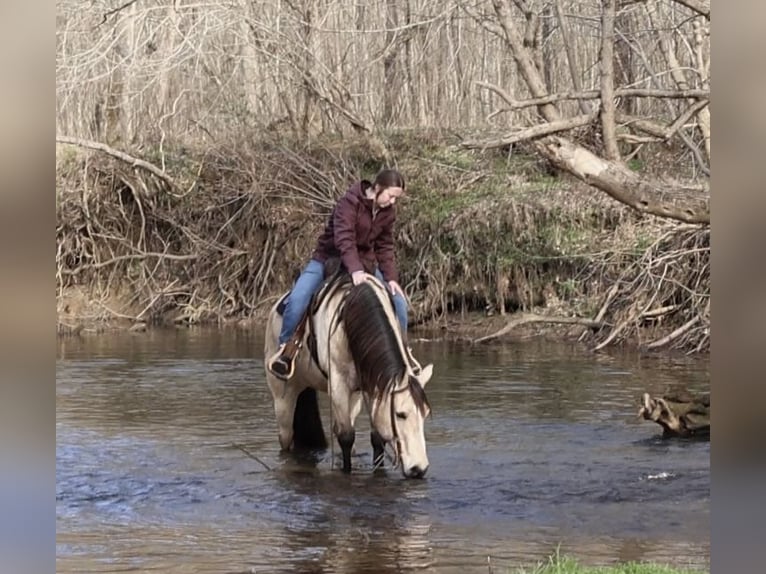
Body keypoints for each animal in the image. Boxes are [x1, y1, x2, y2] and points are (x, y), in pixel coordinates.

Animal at [264, 271, 433, 478]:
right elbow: (346, 436)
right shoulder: (339, 386)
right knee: (286, 438)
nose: (419, 469)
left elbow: (376, 437)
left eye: (425, 414)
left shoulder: (372, 386)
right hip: (283, 398)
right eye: (400, 414)